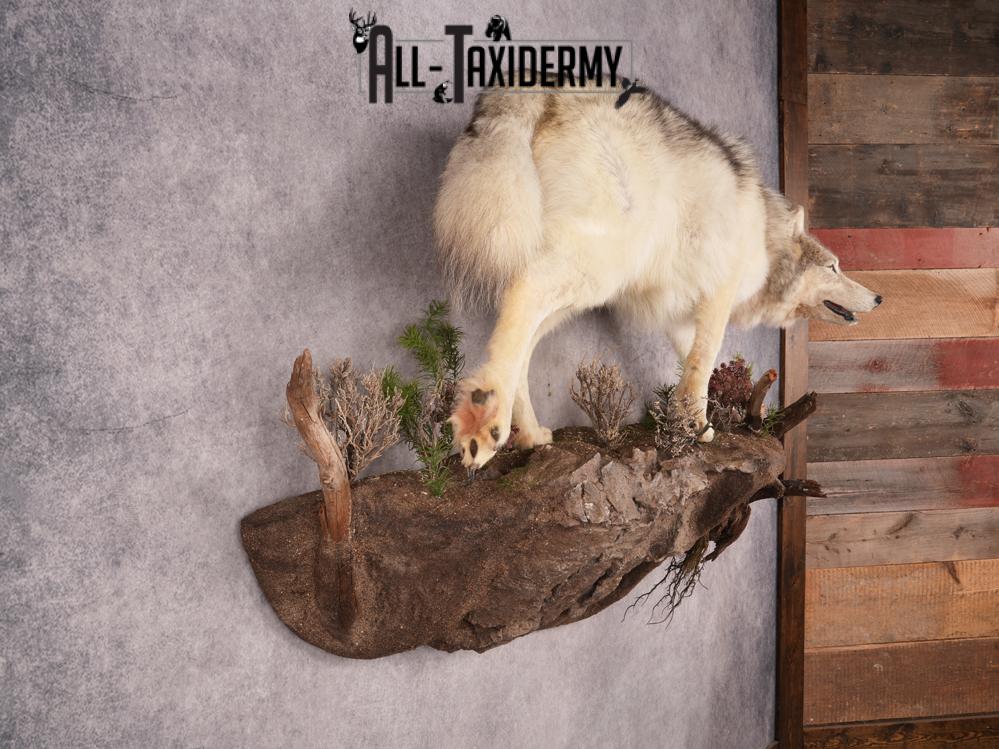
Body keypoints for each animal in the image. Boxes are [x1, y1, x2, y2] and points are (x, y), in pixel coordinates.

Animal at [433, 77, 881, 472]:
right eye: (834, 267)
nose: (878, 298)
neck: (765, 237)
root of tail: (538, 85)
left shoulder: (682, 316)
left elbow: (694, 366)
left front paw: (696, 426)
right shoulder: (719, 293)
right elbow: (705, 360)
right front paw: (698, 424)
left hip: (579, 292)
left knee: (520, 342)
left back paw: (530, 435)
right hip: (598, 267)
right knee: (522, 291)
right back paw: (485, 419)